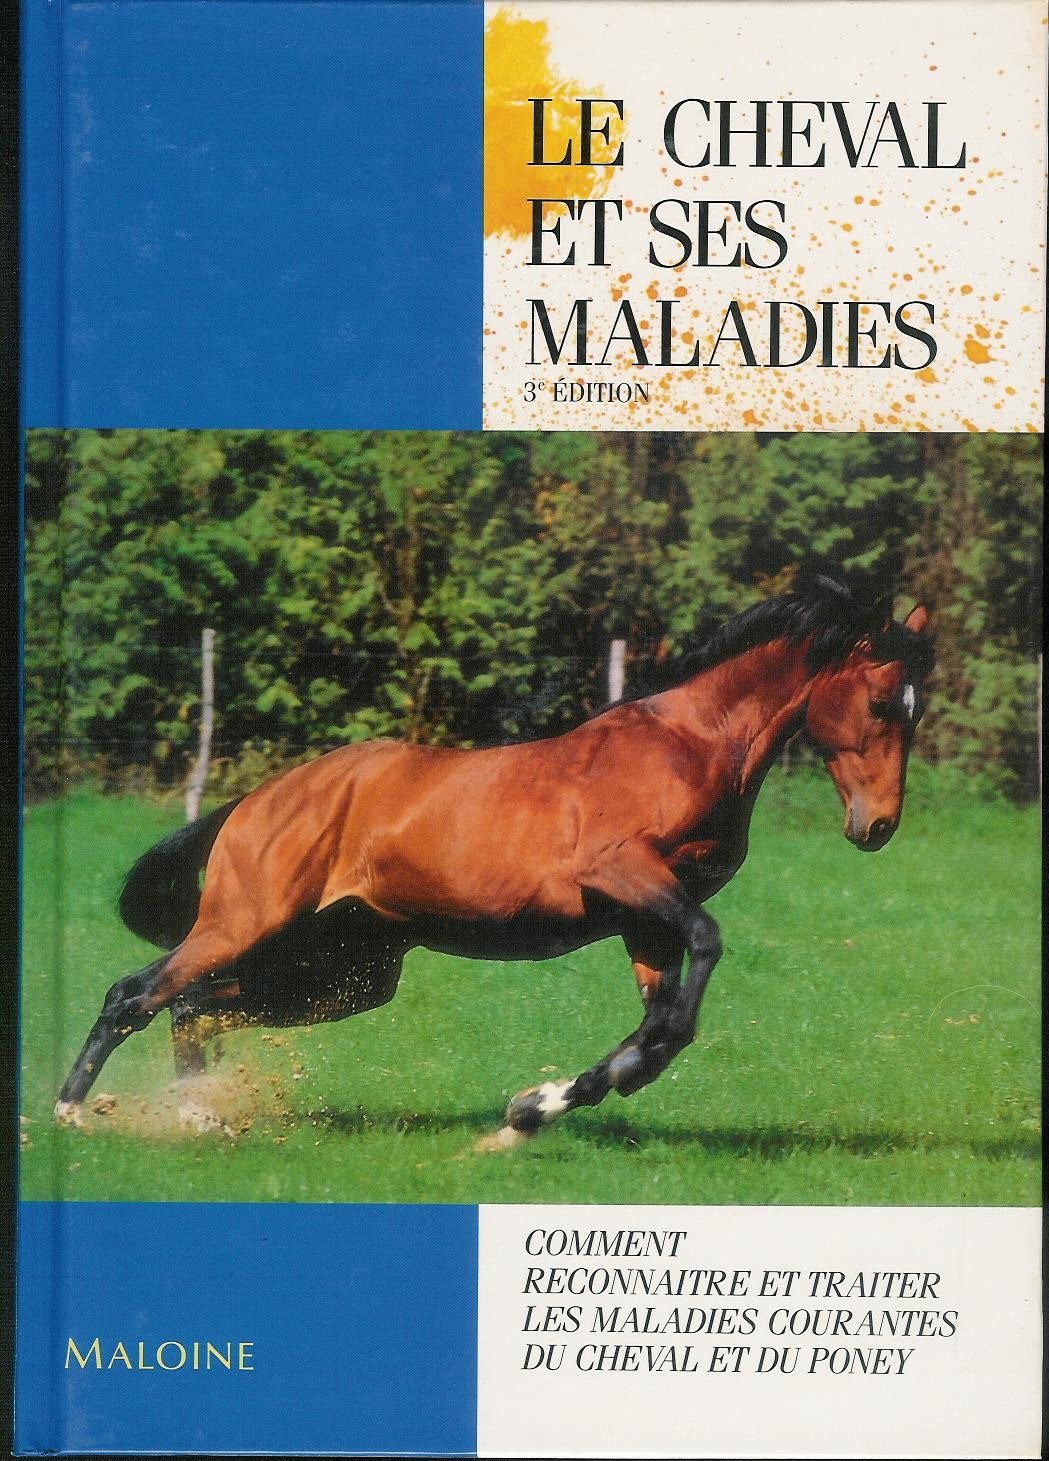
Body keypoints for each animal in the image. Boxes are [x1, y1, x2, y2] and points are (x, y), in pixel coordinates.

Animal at [54, 580, 933, 1146]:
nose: (877, 825)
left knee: (195, 1002)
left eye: (917, 710)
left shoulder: (642, 920)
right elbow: (701, 959)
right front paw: (547, 1103)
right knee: (138, 993)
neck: (686, 748)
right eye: (881, 702)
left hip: (346, 968)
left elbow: (661, 1023)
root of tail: (260, 798)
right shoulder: (624, 876)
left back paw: (197, 1111)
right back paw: (72, 1113)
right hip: (249, 922)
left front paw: (536, 1107)